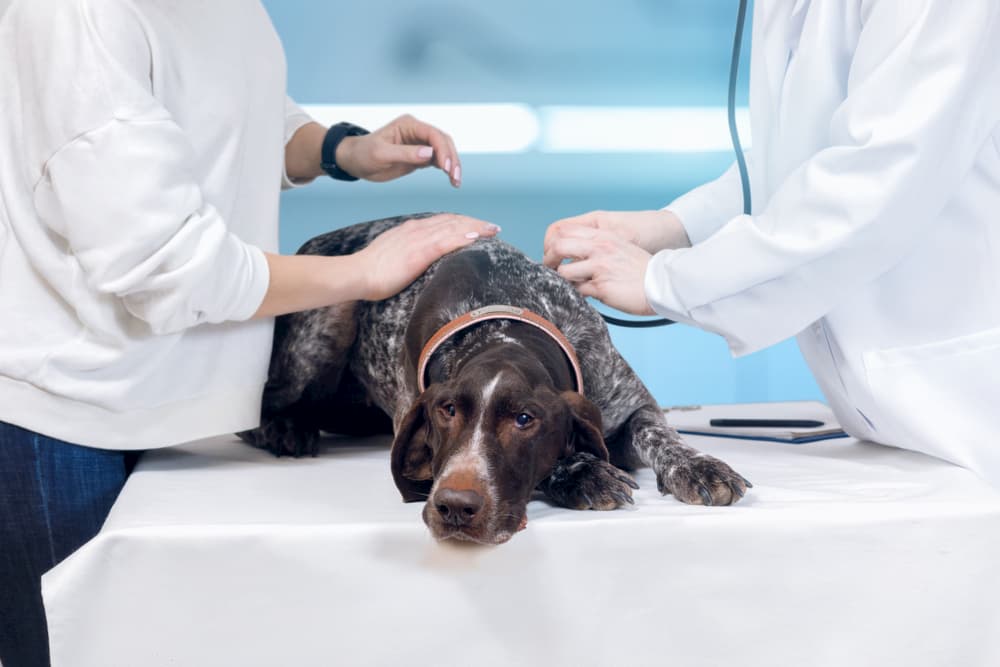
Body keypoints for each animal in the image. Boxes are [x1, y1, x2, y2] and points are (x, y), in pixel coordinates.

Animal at [236, 217, 752, 544]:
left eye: (525, 420)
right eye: (446, 413)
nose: (454, 507)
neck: (500, 317)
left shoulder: (628, 402)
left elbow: (660, 434)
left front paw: (697, 466)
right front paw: (581, 472)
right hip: (327, 318)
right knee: (256, 405)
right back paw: (283, 428)